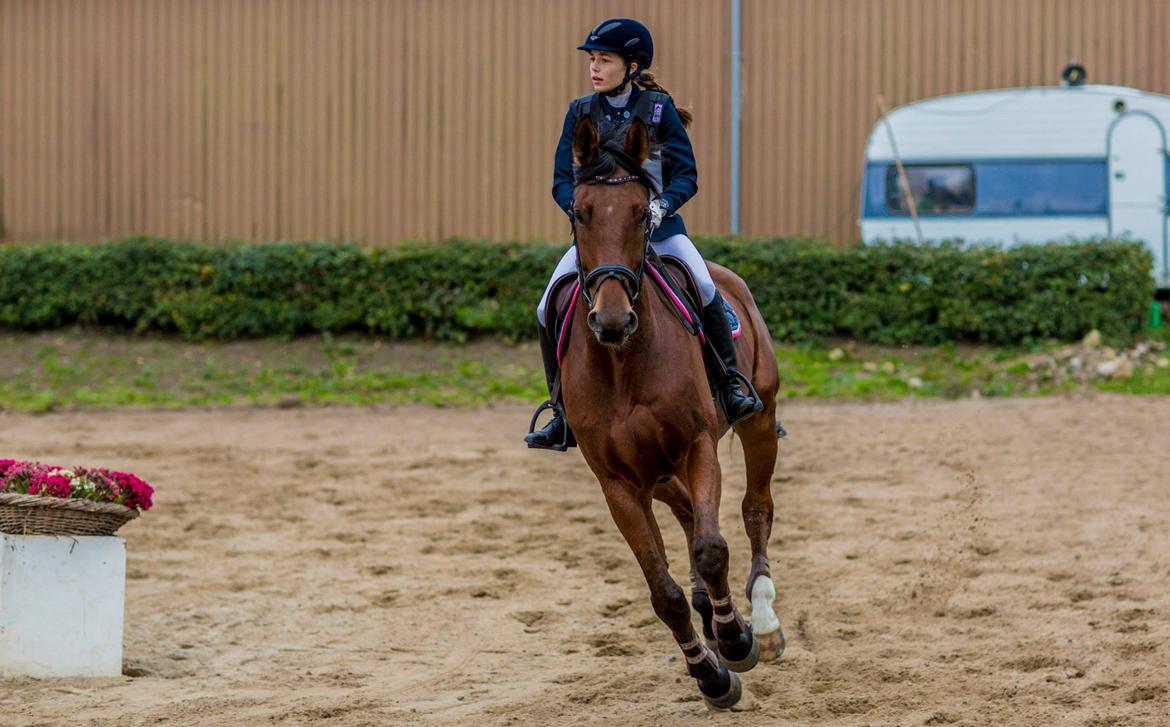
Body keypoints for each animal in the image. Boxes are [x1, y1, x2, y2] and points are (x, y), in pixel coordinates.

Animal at [559, 116, 786, 707]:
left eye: (643, 212)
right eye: (580, 211)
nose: (612, 321)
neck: (624, 362)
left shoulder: (697, 444)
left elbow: (711, 548)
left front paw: (736, 642)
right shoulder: (618, 482)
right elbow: (663, 592)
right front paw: (710, 674)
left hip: (756, 419)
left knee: (755, 509)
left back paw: (763, 620)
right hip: (656, 472)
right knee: (686, 511)